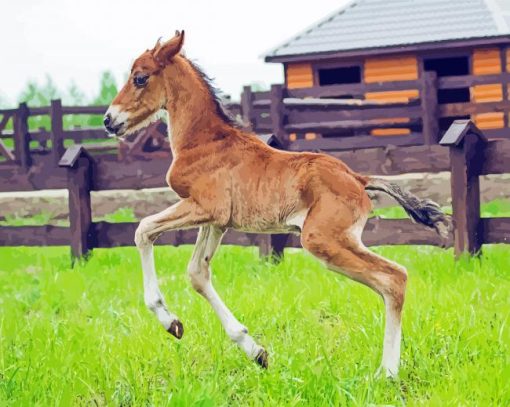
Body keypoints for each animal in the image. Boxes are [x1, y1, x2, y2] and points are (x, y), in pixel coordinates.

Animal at [105, 31, 448, 376]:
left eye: (140, 77)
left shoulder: (204, 207)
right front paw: (255, 351)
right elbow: (197, 274)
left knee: (395, 278)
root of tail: (358, 178)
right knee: (393, 278)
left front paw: (169, 320)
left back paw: (386, 373)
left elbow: (143, 230)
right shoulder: (217, 222)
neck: (205, 141)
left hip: (322, 239)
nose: (109, 120)